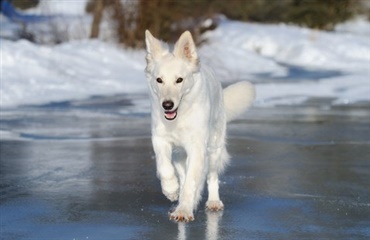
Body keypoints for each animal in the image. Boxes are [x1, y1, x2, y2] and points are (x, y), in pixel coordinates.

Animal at [145, 30, 254, 223]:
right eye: (159, 80)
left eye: (179, 80)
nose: (167, 105)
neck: (180, 116)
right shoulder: (160, 139)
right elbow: (165, 167)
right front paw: (171, 189)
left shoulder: (197, 148)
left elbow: (192, 182)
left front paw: (184, 210)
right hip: (180, 155)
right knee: (182, 173)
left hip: (213, 149)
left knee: (212, 176)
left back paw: (213, 201)